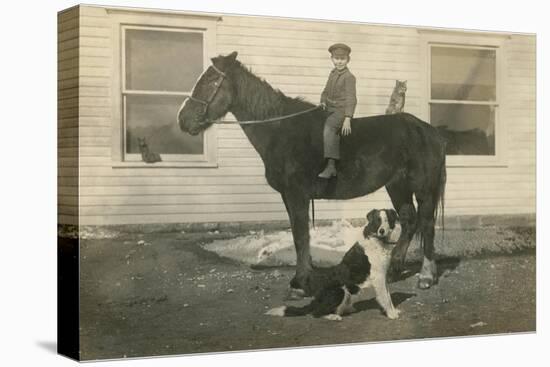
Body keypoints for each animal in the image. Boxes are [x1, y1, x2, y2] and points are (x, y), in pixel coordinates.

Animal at [179, 52, 446, 296]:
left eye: (212, 80)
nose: (183, 120)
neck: (280, 129)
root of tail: (429, 130)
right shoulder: (289, 196)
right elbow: (301, 235)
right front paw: (303, 277)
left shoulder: (297, 194)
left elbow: (300, 236)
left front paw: (301, 282)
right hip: (397, 186)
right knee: (409, 220)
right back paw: (394, 270)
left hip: (423, 187)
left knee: (426, 224)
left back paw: (426, 276)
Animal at [268, 210, 402, 322]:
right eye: (377, 221)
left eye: (387, 220)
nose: (382, 231)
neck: (378, 240)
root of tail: (315, 299)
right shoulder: (378, 277)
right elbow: (385, 298)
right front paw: (391, 314)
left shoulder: (383, 276)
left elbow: (389, 296)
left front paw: (393, 311)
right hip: (339, 291)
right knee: (316, 313)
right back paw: (333, 316)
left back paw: (347, 309)